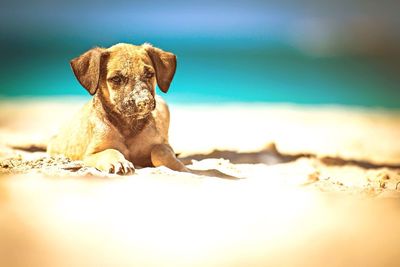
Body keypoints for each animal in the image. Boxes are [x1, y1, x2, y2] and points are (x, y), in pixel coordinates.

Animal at [47, 43, 234, 179]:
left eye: (149, 74)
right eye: (116, 79)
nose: (144, 103)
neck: (128, 126)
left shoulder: (162, 145)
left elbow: (160, 151)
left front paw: (180, 168)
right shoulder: (89, 154)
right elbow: (110, 151)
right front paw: (119, 163)